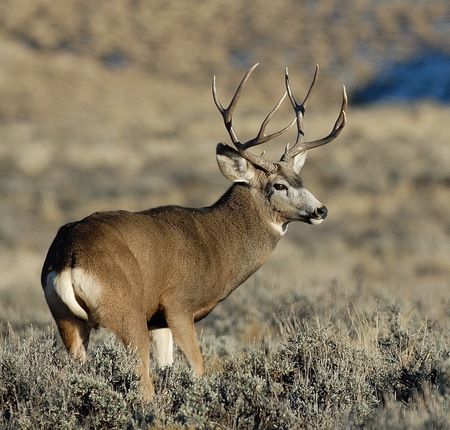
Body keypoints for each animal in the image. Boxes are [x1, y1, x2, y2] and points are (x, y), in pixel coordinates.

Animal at [40, 63, 346, 400]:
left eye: (300, 179)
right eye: (278, 185)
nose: (321, 210)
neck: (219, 245)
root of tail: (67, 260)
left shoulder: (157, 320)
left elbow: (167, 366)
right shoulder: (178, 305)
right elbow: (198, 369)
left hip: (66, 319)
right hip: (125, 310)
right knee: (143, 381)